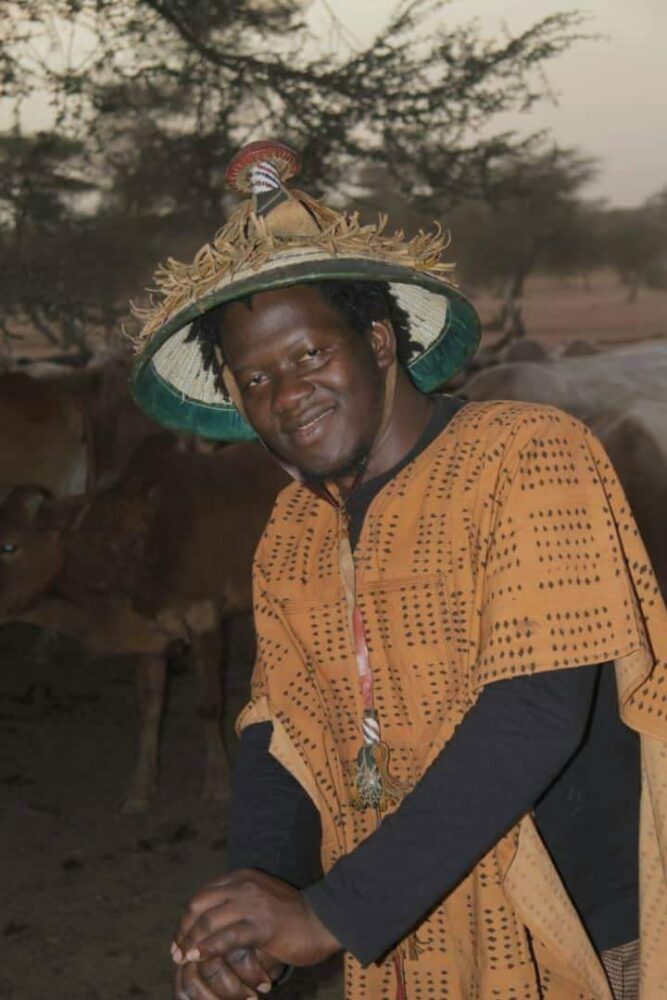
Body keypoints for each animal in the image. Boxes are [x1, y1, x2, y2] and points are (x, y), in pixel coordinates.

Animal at [0, 439, 289, 813]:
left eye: (9, 545)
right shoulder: (150, 635)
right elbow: (151, 709)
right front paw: (140, 787)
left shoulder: (204, 619)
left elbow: (209, 705)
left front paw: (218, 781)